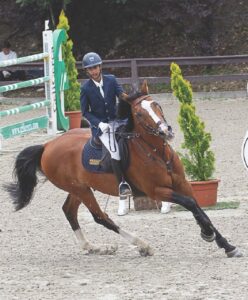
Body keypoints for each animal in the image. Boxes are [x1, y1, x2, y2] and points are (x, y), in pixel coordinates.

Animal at [4, 81, 242, 256]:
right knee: (100, 217)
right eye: (139, 114)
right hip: (81, 189)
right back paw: (142, 245)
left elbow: (199, 209)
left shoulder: (182, 184)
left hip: (79, 188)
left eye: (156, 105)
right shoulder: (157, 191)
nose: (166, 131)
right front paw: (210, 235)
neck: (157, 153)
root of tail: (47, 146)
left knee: (69, 212)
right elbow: (192, 205)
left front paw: (224, 243)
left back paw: (94, 247)